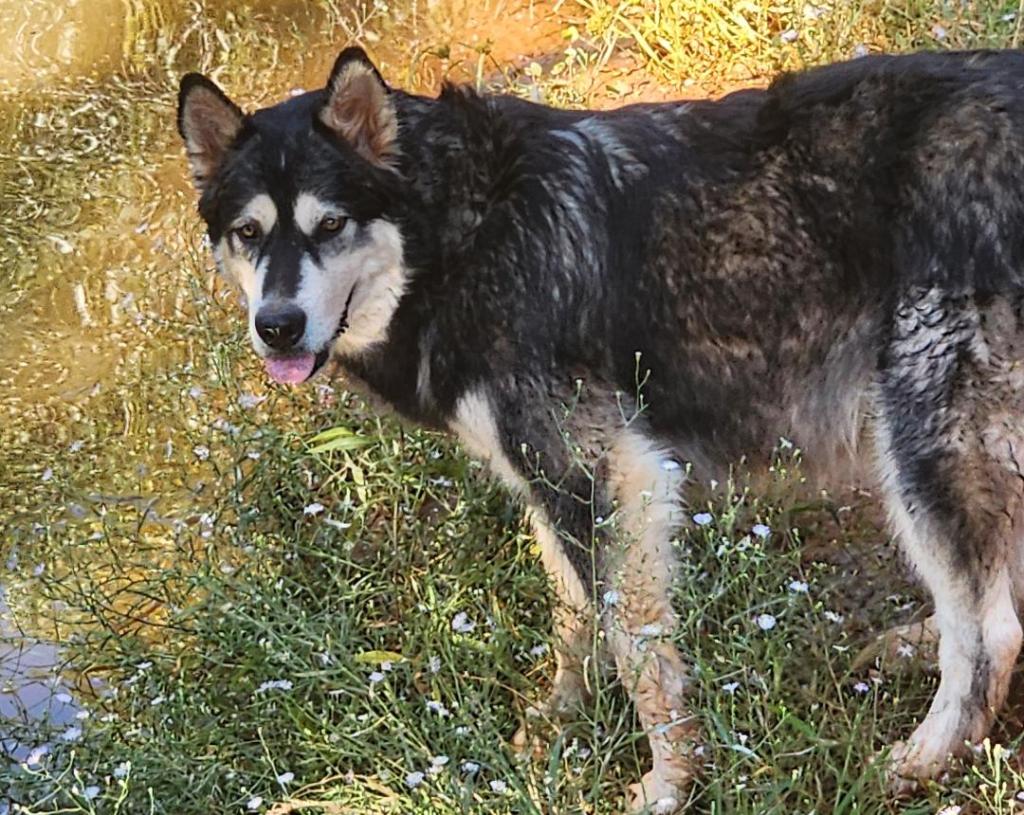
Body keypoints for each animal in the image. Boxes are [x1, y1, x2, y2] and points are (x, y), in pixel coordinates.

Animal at [178, 47, 1024, 811]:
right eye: (249, 233)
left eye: (330, 224)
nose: (277, 326)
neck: (459, 231)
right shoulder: (550, 483)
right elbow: (574, 616)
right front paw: (557, 719)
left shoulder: (611, 472)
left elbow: (634, 648)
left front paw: (671, 778)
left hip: (920, 437)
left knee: (990, 631)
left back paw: (926, 755)